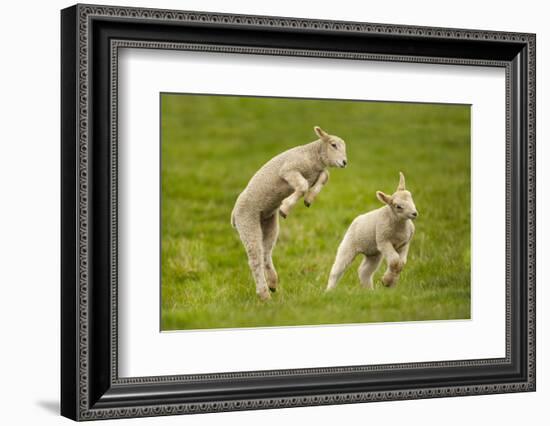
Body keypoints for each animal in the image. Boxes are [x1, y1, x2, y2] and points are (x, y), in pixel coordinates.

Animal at [233, 126, 350, 300]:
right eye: (333, 145)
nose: (344, 162)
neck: (312, 155)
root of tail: (234, 215)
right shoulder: (289, 170)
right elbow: (302, 185)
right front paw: (285, 207)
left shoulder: (316, 172)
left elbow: (324, 177)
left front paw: (309, 199)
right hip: (247, 220)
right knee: (255, 259)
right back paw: (264, 294)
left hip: (268, 222)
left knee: (265, 253)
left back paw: (272, 283)